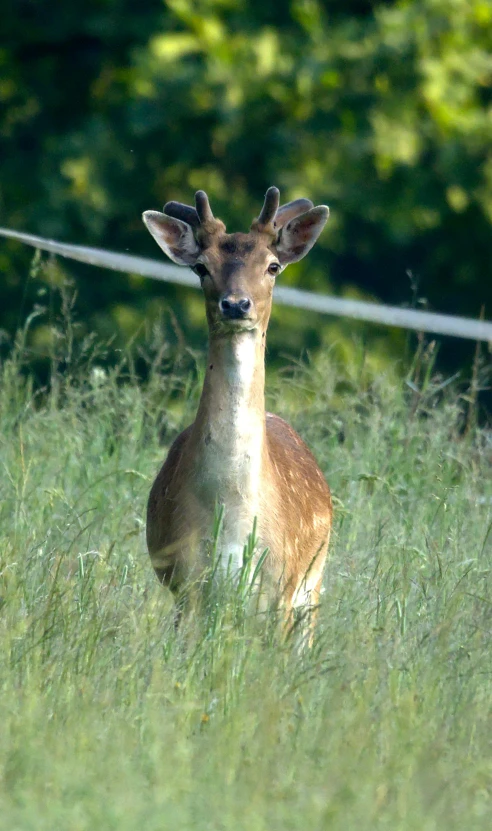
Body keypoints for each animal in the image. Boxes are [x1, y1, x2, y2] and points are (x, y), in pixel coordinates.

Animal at [144, 188, 332, 636]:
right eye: (201, 267)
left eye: (273, 265)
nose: (235, 304)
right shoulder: (186, 583)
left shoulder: (279, 587)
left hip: (313, 582)